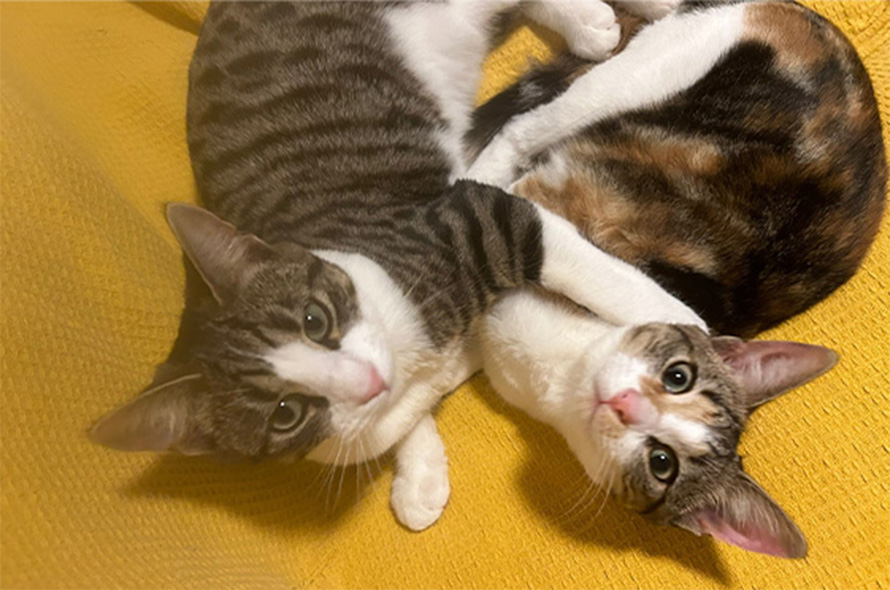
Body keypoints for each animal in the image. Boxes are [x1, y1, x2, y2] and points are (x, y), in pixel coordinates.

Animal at [90, 0, 700, 536]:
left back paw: (613, 18)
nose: (365, 380)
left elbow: (588, 270)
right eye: (285, 412)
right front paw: (420, 477)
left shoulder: (474, 214)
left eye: (315, 320)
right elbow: (406, 415)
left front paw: (681, 319)